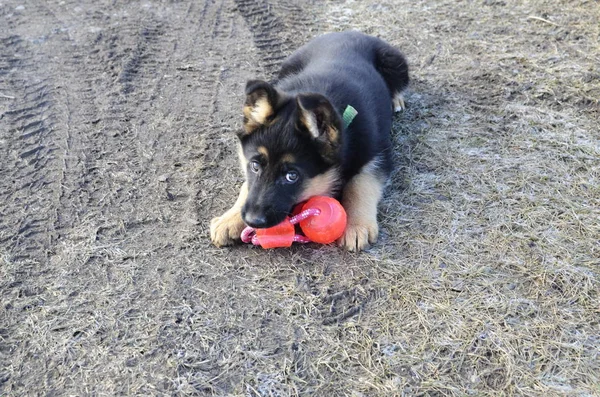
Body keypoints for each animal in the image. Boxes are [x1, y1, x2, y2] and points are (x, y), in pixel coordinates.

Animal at [210, 31, 408, 251]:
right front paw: (229, 219)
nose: (253, 221)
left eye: (292, 176)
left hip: (395, 62)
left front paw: (357, 225)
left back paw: (396, 99)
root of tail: (348, 32)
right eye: (254, 166)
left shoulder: (379, 153)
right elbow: (247, 186)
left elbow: (361, 183)